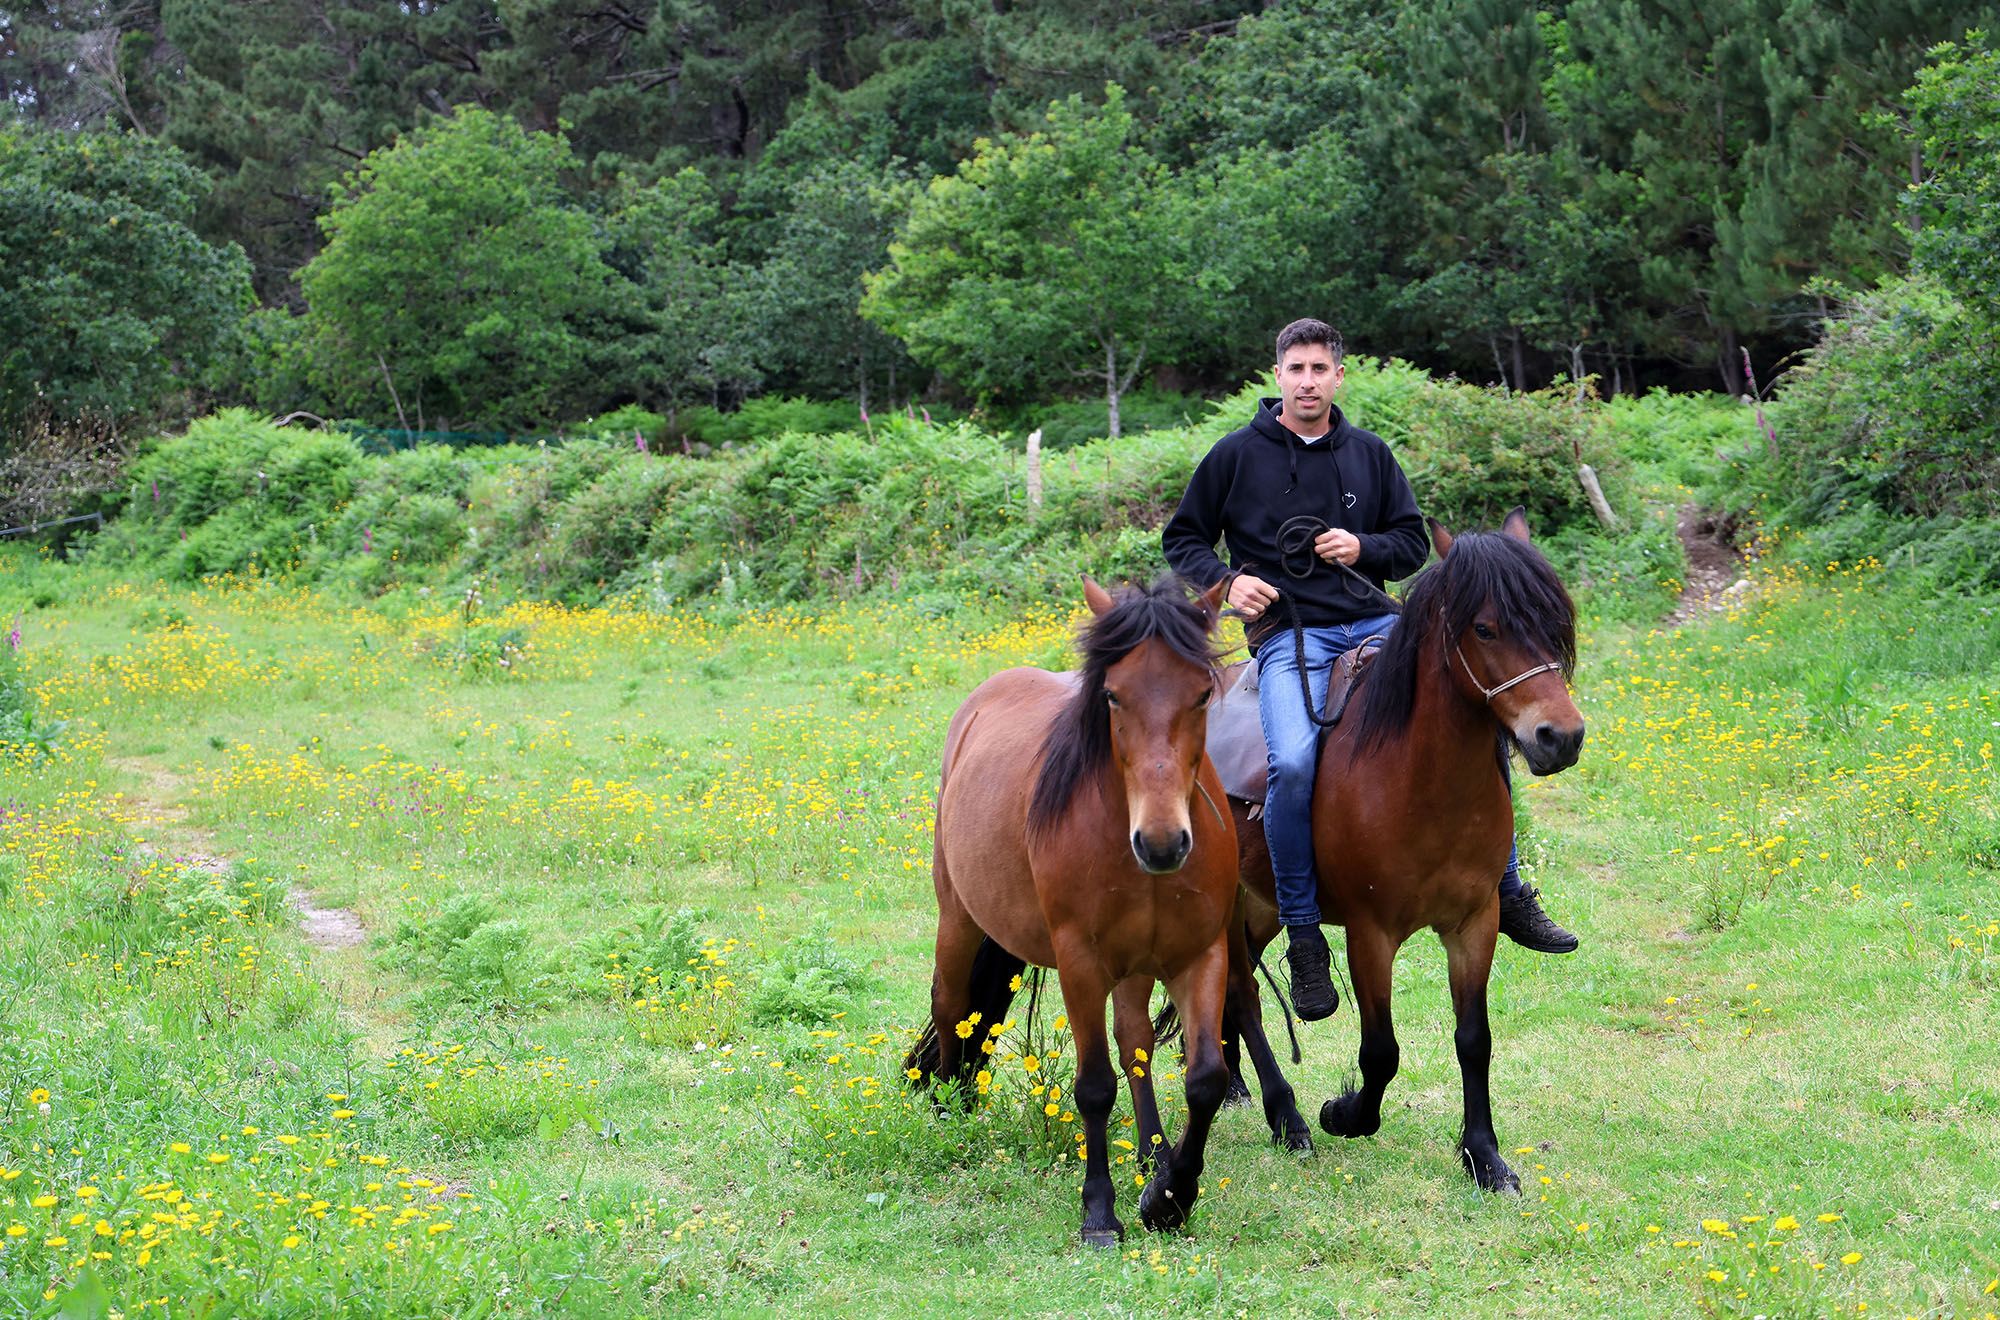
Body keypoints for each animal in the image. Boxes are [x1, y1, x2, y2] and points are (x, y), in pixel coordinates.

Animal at [912, 576, 1240, 1248]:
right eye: (1112, 695)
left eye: (1201, 694)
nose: (1162, 844)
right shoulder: (1079, 962)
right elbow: (1093, 1087)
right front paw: (1100, 1214)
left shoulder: (1201, 954)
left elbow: (1205, 1079)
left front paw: (1168, 1198)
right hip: (958, 917)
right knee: (952, 1005)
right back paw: (949, 1110)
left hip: (1137, 964)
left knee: (1135, 1041)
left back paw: (1153, 1153)